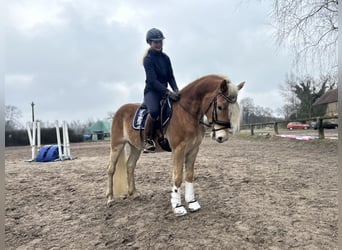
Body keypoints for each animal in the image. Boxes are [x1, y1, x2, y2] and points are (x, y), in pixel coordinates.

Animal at [106, 73, 243, 216]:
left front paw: (192, 202)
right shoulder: (179, 149)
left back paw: (134, 193)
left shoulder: (193, 149)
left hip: (135, 147)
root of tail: (119, 110)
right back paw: (110, 199)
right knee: (111, 169)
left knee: (130, 166)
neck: (187, 113)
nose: (223, 137)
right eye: (220, 106)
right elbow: (177, 177)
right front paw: (178, 207)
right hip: (116, 145)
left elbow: (189, 175)